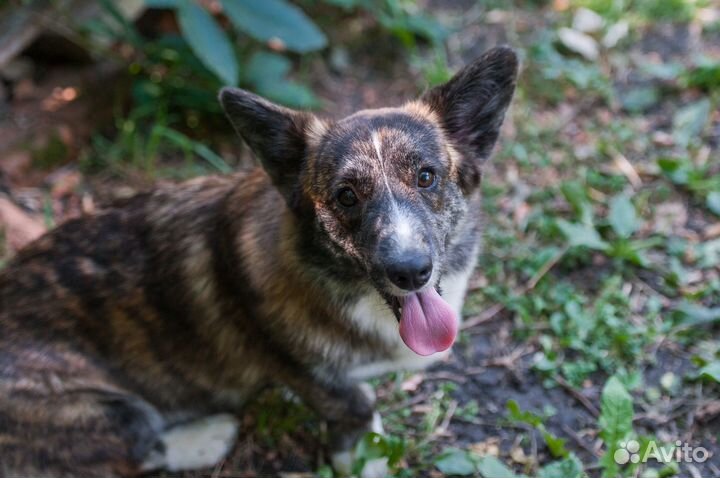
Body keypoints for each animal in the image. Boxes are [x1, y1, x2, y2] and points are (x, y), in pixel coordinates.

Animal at [0, 45, 516, 478]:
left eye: (426, 177)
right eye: (346, 196)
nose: (409, 271)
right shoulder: (300, 369)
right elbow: (352, 405)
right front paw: (363, 457)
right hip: (109, 412)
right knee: (140, 450)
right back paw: (208, 436)